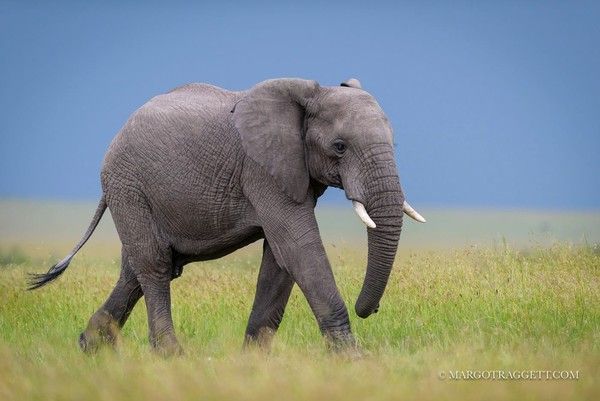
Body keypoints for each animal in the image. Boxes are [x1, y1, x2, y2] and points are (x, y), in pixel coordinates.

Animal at [27, 77, 422, 354]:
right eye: (339, 147)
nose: (368, 310)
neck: (310, 93)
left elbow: (280, 260)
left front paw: (253, 359)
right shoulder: (261, 169)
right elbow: (298, 247)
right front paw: (351, 359)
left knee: (134, 271)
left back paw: (91, 348)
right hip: (127, 186)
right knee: (154, 266)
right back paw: (170, 354)